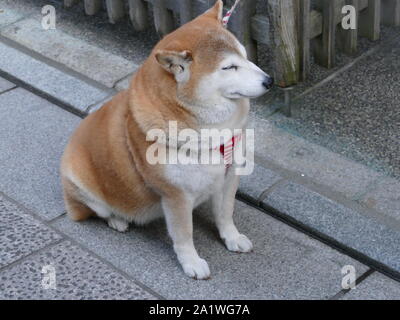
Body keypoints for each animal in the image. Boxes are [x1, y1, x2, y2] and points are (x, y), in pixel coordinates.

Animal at [61, 0, 274, 280]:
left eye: (245, 55)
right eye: (229, 67)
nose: (270, 81)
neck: (212, 134)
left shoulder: (228, 176)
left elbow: (225, 214)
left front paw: (232, 238)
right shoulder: (176, 195)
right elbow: (184, 235)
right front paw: (192, 262)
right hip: (79, 182)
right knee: (100, 211)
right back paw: (118, 219)